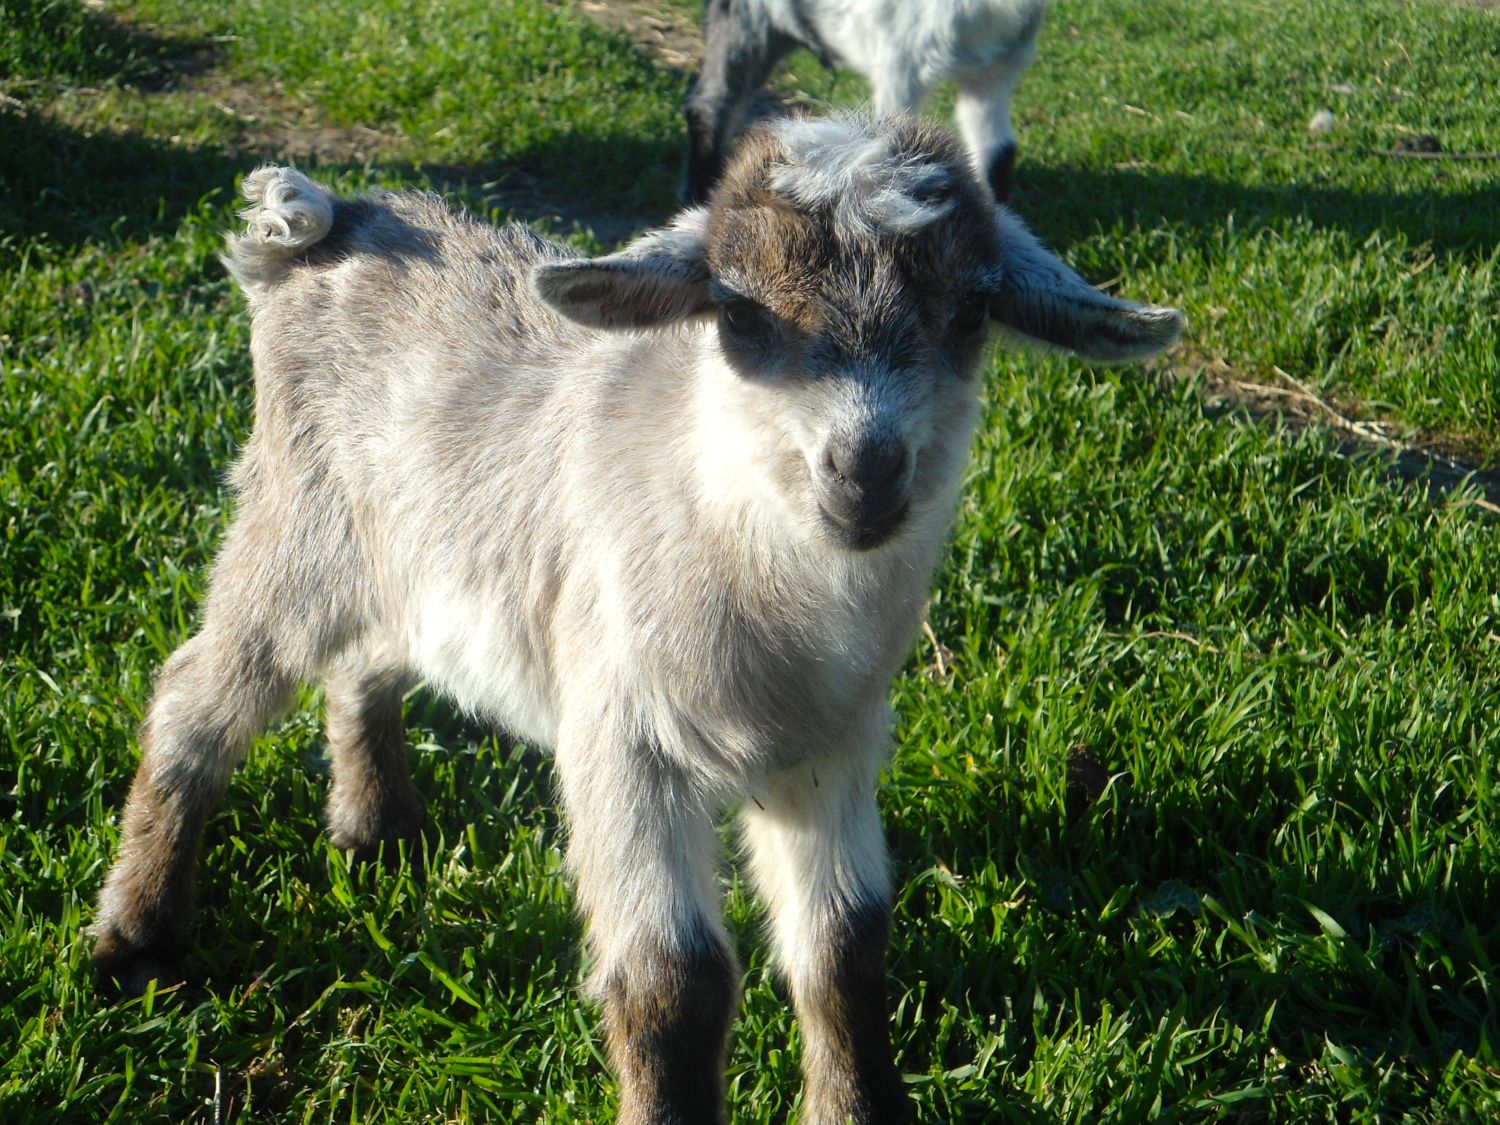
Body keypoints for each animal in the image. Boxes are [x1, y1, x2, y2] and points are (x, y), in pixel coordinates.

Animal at [91, 112, 1182, 1123]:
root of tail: (329, 224)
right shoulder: (622, 739)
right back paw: (134, 941)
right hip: (294, 532)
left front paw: (855, 1105)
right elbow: (676, 982)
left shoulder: (830, 746)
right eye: (738, 312)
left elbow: (844, 945)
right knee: (195, 697)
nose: (866, 475)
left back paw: (375, 829)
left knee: (366, 664)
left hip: (404, 553)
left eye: (971, 312)